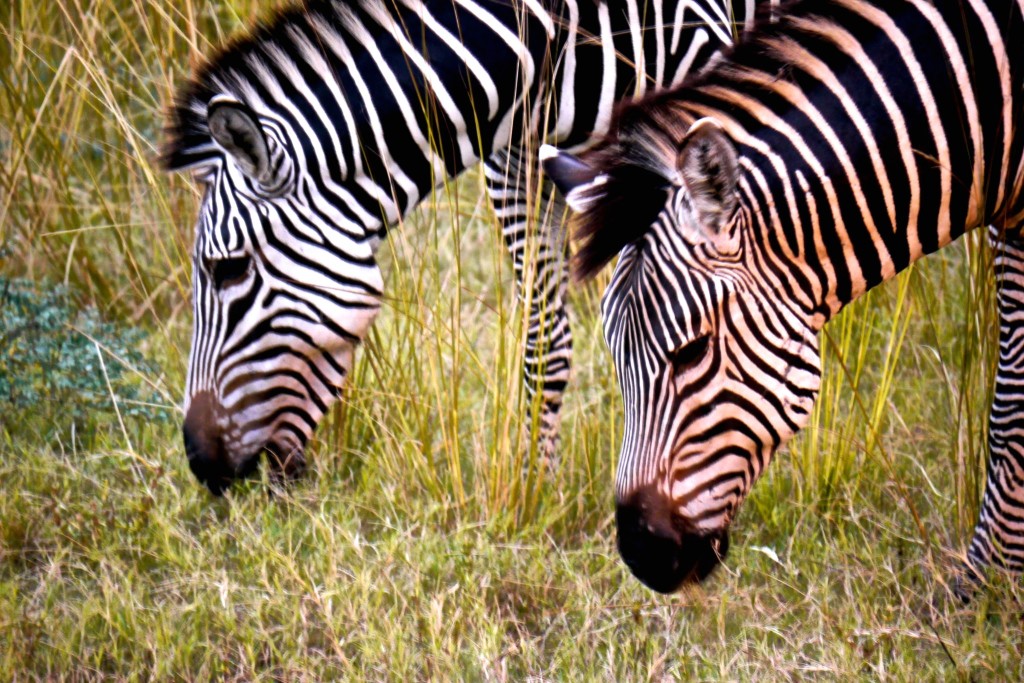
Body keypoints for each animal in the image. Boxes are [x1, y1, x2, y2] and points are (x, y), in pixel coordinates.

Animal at [161, 0, 770, 493]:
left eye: (228, 269)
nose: (200, 463)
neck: (551, 34)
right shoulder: (517, 159)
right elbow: (544, 338)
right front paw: (533, 491)